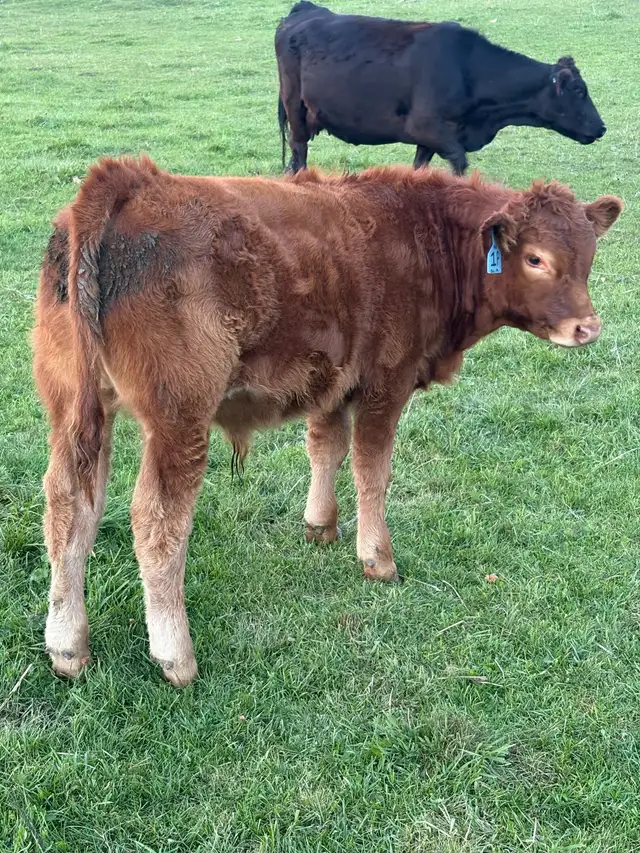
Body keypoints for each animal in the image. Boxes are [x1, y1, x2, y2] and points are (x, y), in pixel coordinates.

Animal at [33, 155, 621, 686]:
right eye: (536, 259)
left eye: (589, 257)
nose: (587, 328)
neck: (423, 236)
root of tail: (126, 180)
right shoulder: (387, 382)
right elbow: (371, 469)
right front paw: (377, 558)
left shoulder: (333, 381)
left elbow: (326, 448)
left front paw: (320, 525)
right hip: (179, 419)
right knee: (157, 522)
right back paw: (175, 656)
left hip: (74, 407)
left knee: (69, 503)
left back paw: (67, 646)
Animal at [276, 1, 607, 175]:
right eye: (579, 91)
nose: (601, 127)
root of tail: (306, 9)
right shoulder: (429, 128)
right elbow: (460, 165)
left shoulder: (430, 140)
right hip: (295, 107)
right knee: (298, 151)